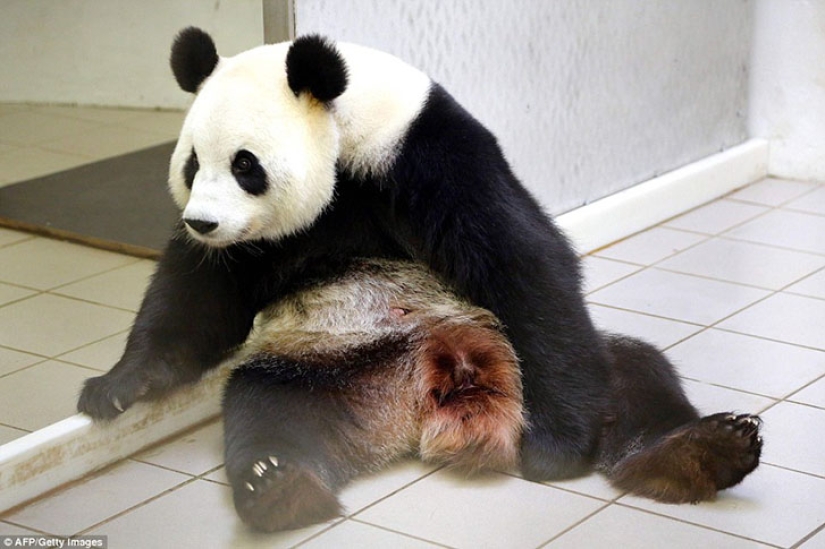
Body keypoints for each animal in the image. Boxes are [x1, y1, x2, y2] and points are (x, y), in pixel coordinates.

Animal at [77, 27, 763, 530]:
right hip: (319, 367)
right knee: (268, 412)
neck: (347, 122)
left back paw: (697, 451)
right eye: (193, 164)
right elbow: (196, 297)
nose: (203, 221)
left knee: (632, 374)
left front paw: (558, 449)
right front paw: (115, 387)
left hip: (539, 357)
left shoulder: (423, 151)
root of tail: (423, 394)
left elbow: (524, 261)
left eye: (246, 165)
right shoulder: (252, 245)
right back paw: (278, 485)